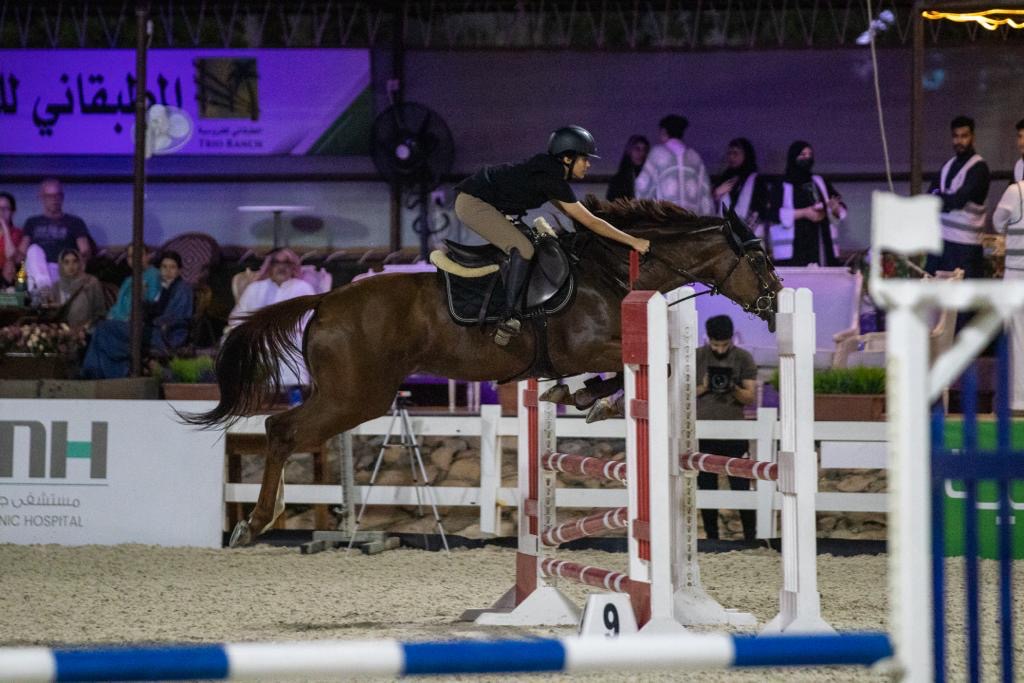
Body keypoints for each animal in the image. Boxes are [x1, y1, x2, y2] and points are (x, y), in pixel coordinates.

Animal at [185, 197, 782, 546]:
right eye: (758, 260)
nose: (775, 303)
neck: (613, 271)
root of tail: (327, 300)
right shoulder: (589, 346)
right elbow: (641, 368)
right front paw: (593, 398)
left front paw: (579, 398)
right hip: (356, 397)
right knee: (280, 430)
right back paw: (255, 523)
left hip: (353, 395)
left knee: (279, 431)